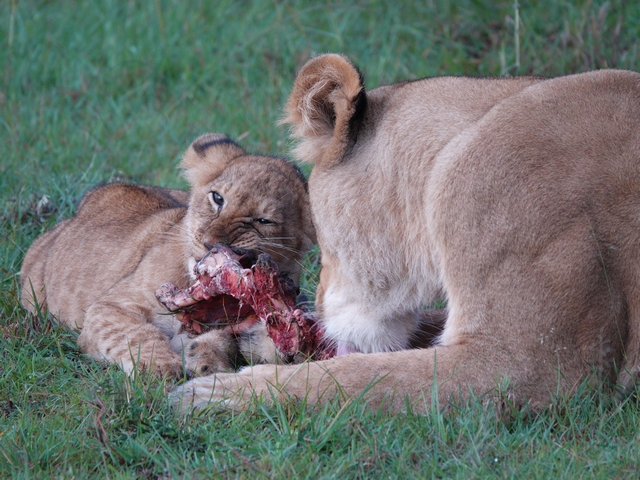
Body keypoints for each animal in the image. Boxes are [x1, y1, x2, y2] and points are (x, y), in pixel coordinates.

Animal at [20, 133, 316, 377]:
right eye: (217, 198)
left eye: (264, 221)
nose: (210, 244)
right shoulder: (109, 307)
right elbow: (136, 333)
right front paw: (161, 367)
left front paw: (205, 359)